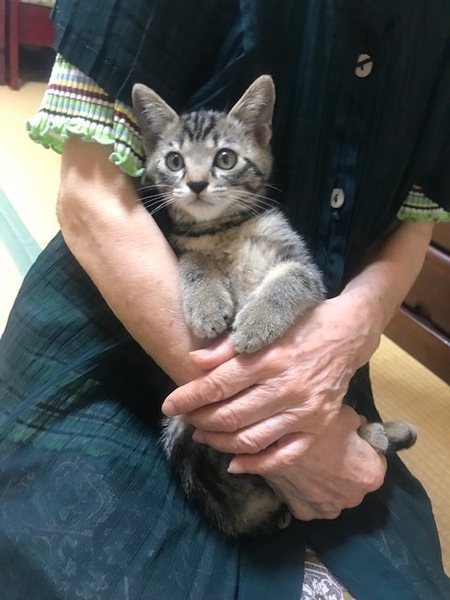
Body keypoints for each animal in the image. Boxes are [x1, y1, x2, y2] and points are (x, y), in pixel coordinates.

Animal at [132, 75, 417, 537]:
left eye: (225, 158)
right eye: (174, 161)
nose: (196, 183)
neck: (225, 229)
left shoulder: (303, 268)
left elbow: (286, 284)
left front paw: (254, 323)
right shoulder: (184, 247)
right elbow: (194, 263)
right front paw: (206, 304)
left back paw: (383, 434)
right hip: (186, 433)